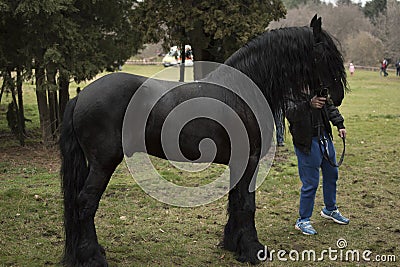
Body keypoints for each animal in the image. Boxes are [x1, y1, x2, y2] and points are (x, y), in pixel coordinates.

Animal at [59, 15, 346, 266]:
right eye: (325, 54)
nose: (337, 95)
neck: (242, 92)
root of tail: (81, 96)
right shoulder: (250, 160)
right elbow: (246, 204)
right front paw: (252, 250)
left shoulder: (239, 162)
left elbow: (235, 201)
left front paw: (233, 244)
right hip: (103, 162)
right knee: (85, 203)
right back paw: (92, 257)